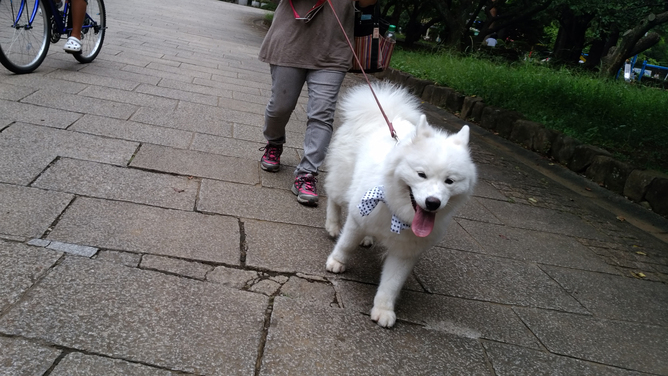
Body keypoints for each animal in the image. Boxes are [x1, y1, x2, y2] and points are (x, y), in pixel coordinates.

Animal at [326, 82, 478, 326]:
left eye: (450, 181)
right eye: (421, 175)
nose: (433, 202)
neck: (399, 213)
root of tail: (383, 114)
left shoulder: (406, 250)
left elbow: (391, 283)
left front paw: (384, 310)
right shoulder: (358, 218)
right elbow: (346, 243)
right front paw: (336, 262)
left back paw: (367, 239)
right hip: (343, 181)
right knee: (334, 196)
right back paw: (332, 225)